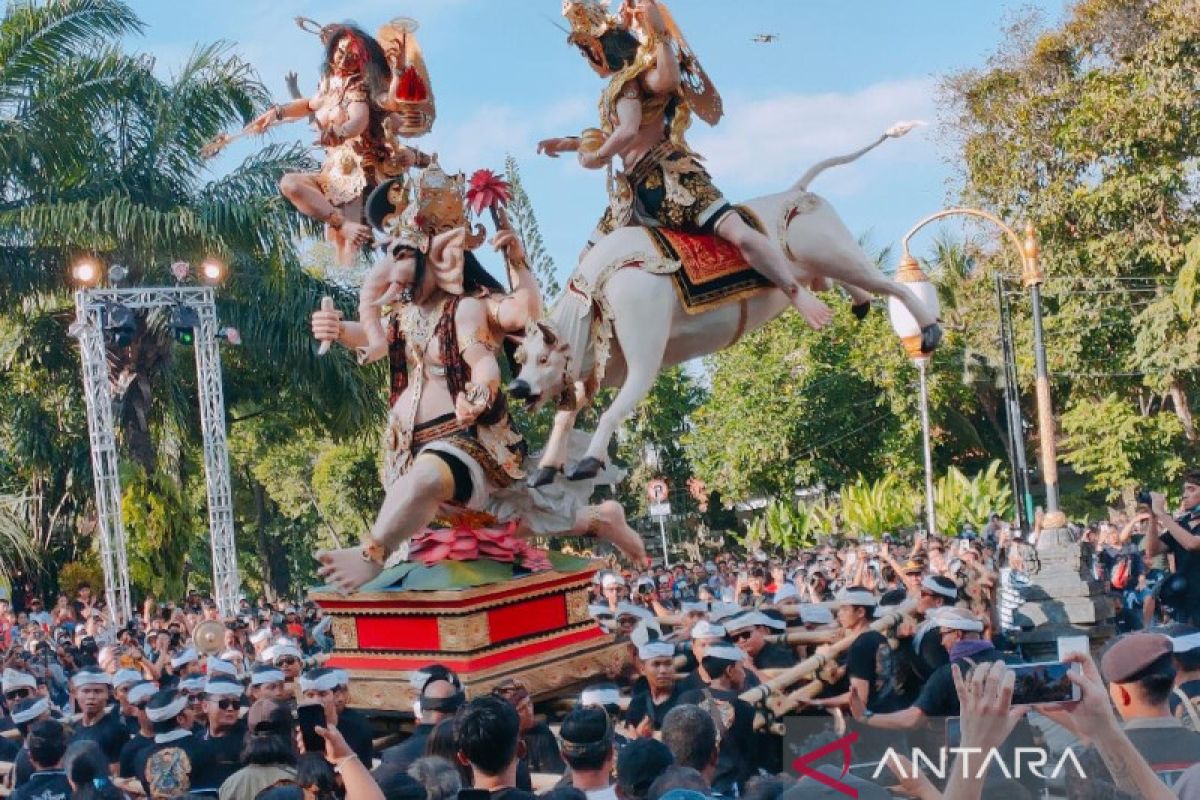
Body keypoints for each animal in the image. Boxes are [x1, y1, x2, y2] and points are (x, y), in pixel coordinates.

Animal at [506, 128, 936, 484]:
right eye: (521, 358)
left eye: (543, 358)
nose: (517, 387)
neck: (598, 294)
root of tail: (796, 191)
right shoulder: (600, 366)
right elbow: (565, 415)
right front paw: (544, 471)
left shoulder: (643, 349)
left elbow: (614, 409)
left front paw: (588, 462)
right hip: (819, 264)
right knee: (839, 283)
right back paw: (858, 305)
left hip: (834, 248)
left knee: (887, 284)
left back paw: (929, 329)